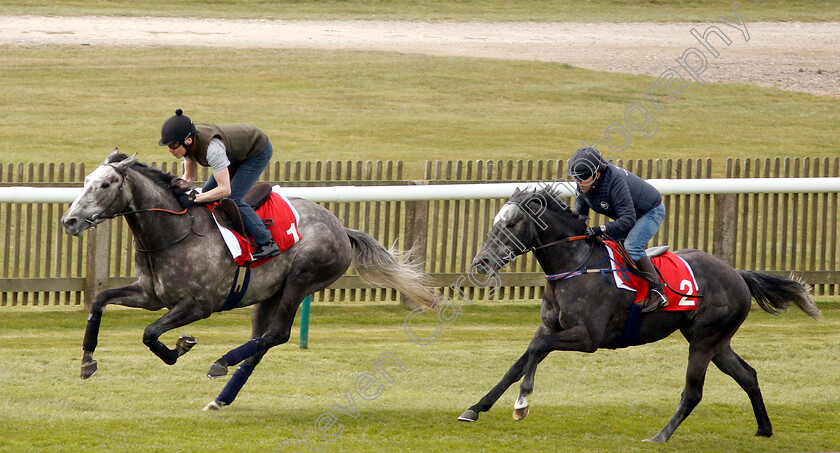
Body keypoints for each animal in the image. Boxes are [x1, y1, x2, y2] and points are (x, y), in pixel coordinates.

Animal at [62, 151, 436, 410]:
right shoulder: (151, 295)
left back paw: (221, 363)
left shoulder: (199, 305)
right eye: (86, 179)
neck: (174, 232)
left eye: (105, 185)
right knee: (261, 341)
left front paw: (181, 347)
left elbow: (150, 333)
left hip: (301, 280)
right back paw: (221, 397)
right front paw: (87, 361)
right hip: (269, 294)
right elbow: (100, 300)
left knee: (278, 334)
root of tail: (341, 229)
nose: (70, 221)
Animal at [460, 182, 820, 440]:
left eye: (512, 223)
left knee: (693, 392)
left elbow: (535, 350)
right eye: (495, 222)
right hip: (716, 341)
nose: (481, 262)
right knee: (747, 375)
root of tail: (738, 274)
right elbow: (518, 364)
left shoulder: (587, 338)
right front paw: (475, 408)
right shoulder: (552, 328)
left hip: (704, 340)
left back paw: (660, 436)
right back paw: (764, 428)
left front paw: (522, 403)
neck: (575, 264)